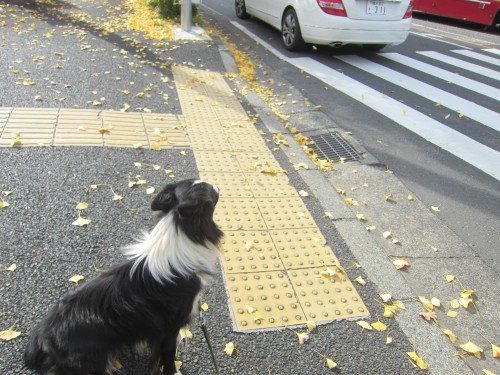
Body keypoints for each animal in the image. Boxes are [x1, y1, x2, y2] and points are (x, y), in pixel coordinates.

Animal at [24, 180, 224, 375]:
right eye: (207, 189)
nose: (217, 186)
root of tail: (43, 337)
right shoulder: (171, 328)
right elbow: (168, 355)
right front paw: (173, 371)